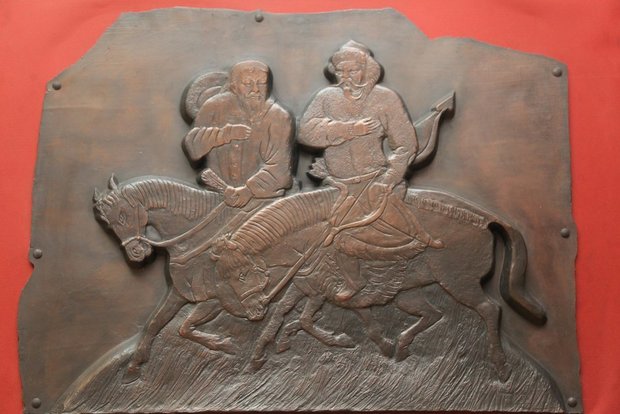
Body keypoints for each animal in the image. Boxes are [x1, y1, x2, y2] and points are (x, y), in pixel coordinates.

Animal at [209, 183, 547, 382]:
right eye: (225, 277)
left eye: (241, 274)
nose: (253, 311)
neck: (308, 239)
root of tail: (487, 219)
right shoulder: (308, 287)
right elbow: (287, 316)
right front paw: (260, 355)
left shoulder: (334, 291)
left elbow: (345, 318)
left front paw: (358, 341)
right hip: (410, 294)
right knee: (434, 314)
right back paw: (404, 345)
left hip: (458, 283)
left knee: (490, 310)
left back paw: (500, 366)